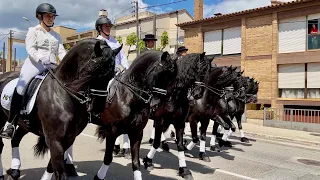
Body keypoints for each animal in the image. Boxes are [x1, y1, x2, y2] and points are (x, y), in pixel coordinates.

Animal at [0, 38, 121, 179]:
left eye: (112, 75)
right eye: (94, 71)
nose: (98, 108)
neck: (63, 93)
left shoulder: (68, 138)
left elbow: (51, 166)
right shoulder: (55, 140)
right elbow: (60, 172)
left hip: (25, 125)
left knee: (15, 140)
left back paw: (15, 171)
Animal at [92, 50, 178, 180]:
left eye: (172, 80)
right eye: (159, 73)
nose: (156, 105)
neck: (128, 95)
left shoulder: (137, 133)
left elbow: (136, 163)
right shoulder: (112, 131)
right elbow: (107, 158)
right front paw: (99, 177)